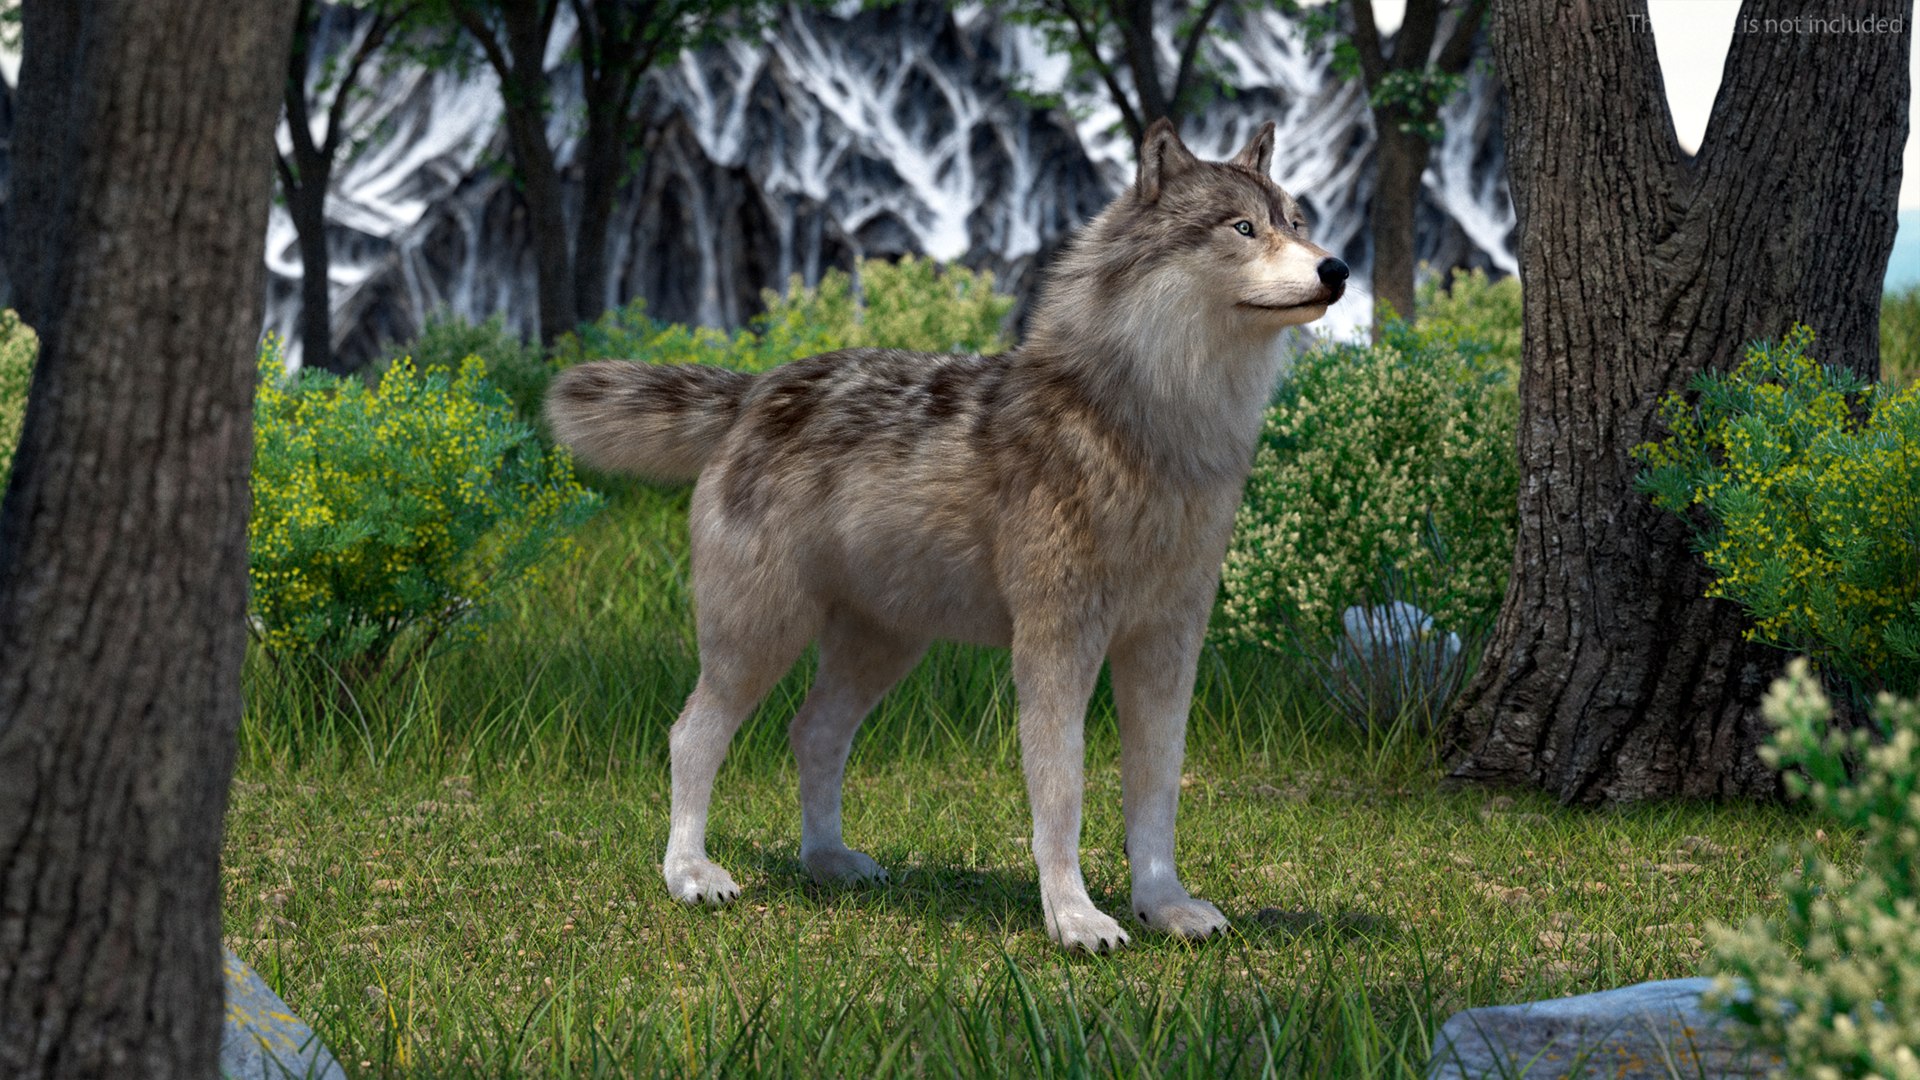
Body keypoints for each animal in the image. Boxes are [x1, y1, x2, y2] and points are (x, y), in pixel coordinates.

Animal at [546, 118, 1347, 951]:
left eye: (1296, 221)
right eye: (1242, 228)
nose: (1339, 269)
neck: (1158, 427)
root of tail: (758, 389)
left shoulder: (1168, 645)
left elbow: (1155, 791)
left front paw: (1165, 906)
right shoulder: (1056, 645)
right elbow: (1061, 795)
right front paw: (1074, 919)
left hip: (882, 648)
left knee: (812, 733)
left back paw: (828, 861)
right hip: (760, 637)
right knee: (691, 736)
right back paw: (690, 875)